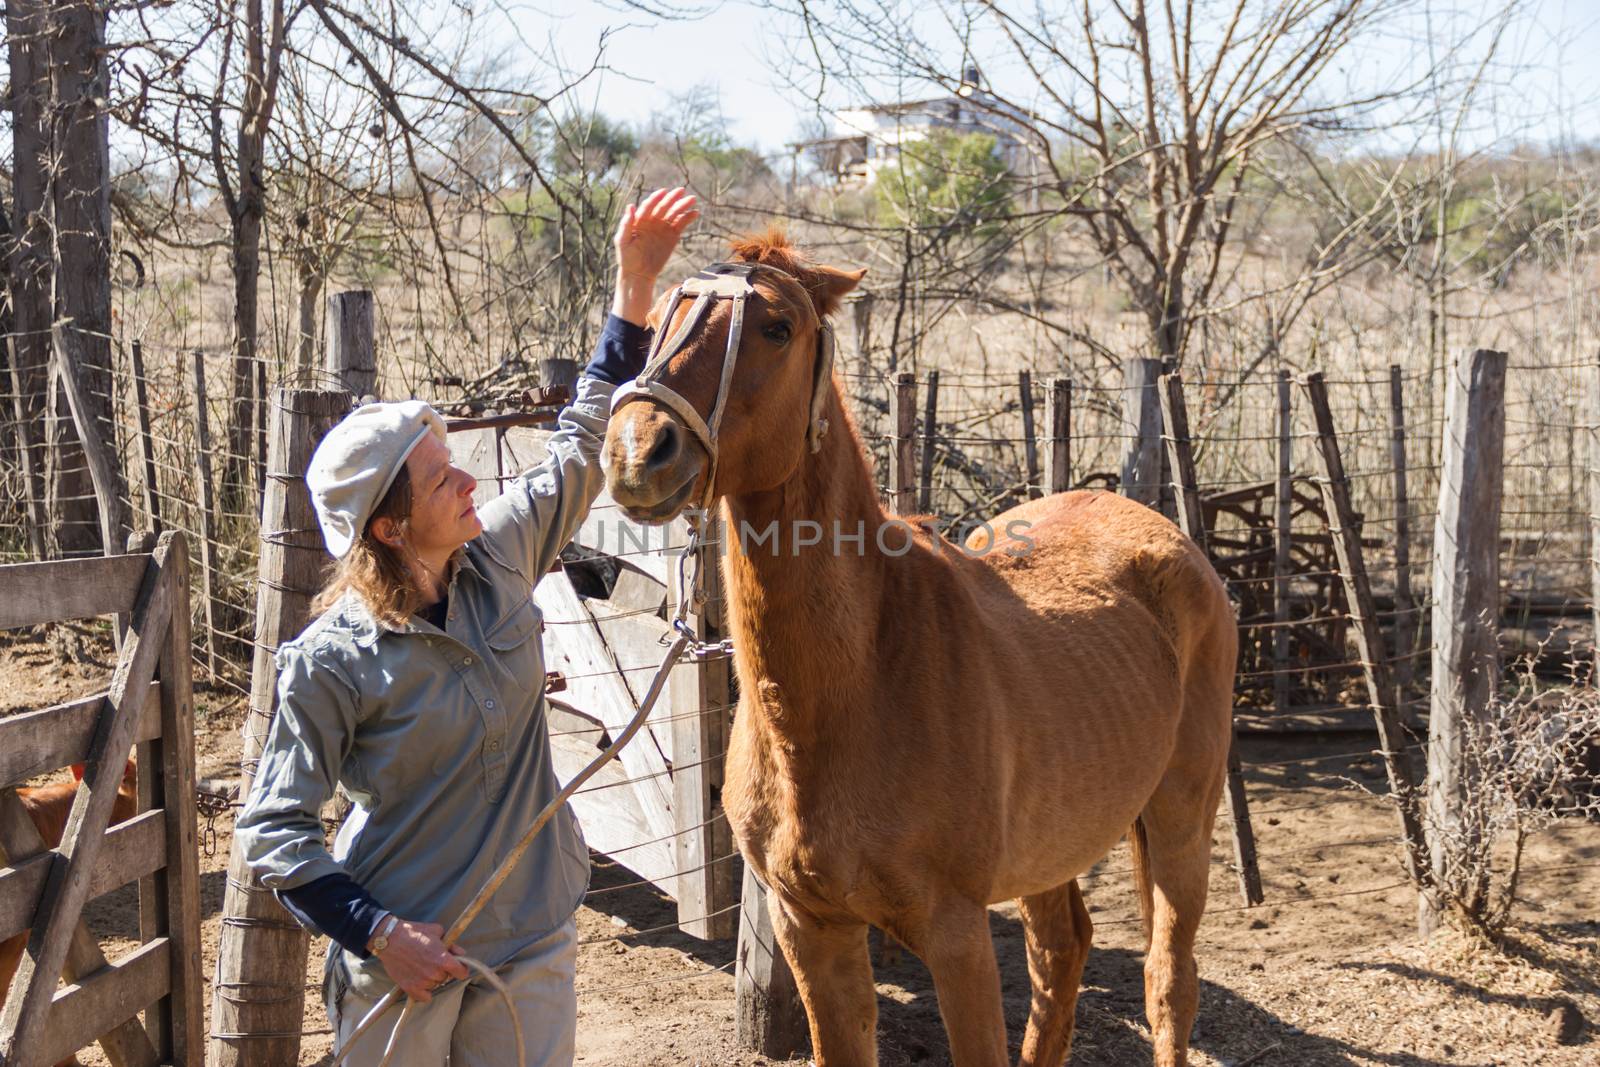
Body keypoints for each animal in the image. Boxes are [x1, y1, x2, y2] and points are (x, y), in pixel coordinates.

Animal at [601, 233, 1235, 1067]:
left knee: (1168, 976)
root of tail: (1166, 534)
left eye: (775, 327)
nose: (638, 450)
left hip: (1181, 817)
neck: (861, 684)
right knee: (1061, 953)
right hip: (1053, 847)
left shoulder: (956, 935)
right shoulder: (813, 930)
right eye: (666, 315)